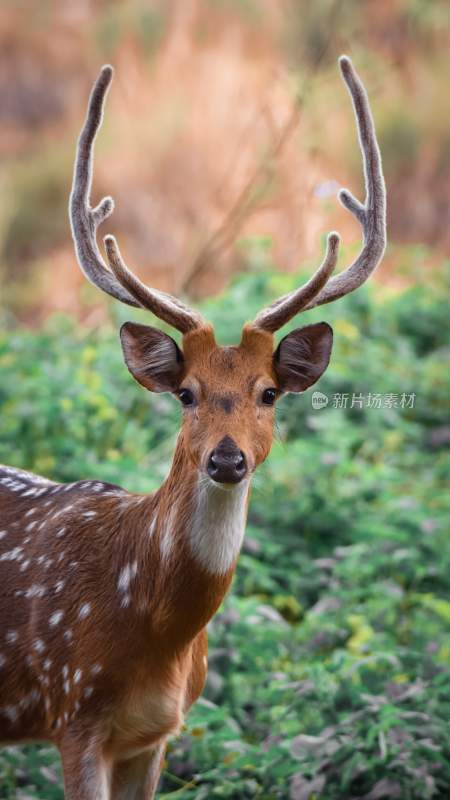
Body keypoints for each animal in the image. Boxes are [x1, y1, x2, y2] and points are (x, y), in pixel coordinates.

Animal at [0, 57, 386, 800]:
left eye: (268, 392)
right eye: (186, 393)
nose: (227, 460)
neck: (156, 630)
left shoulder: (155, 734)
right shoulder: (71, 712)